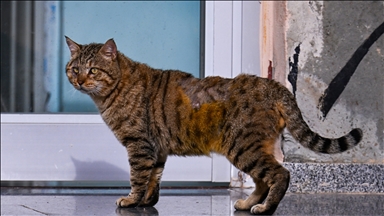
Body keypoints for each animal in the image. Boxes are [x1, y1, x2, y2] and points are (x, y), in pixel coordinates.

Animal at [64, 37, 362, 214]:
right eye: (74, 68)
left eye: (92, 70)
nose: (78, 81)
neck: (113, 93)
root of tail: (274, 86)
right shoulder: (156, 149)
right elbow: (154, 178)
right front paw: (147, 201)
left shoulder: (139, 145)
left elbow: (138, 176)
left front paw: (131, 200)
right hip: (251, 148)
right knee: (263, 180)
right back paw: (248, 203)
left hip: (243, 147)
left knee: (280, 174)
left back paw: (265, 207)